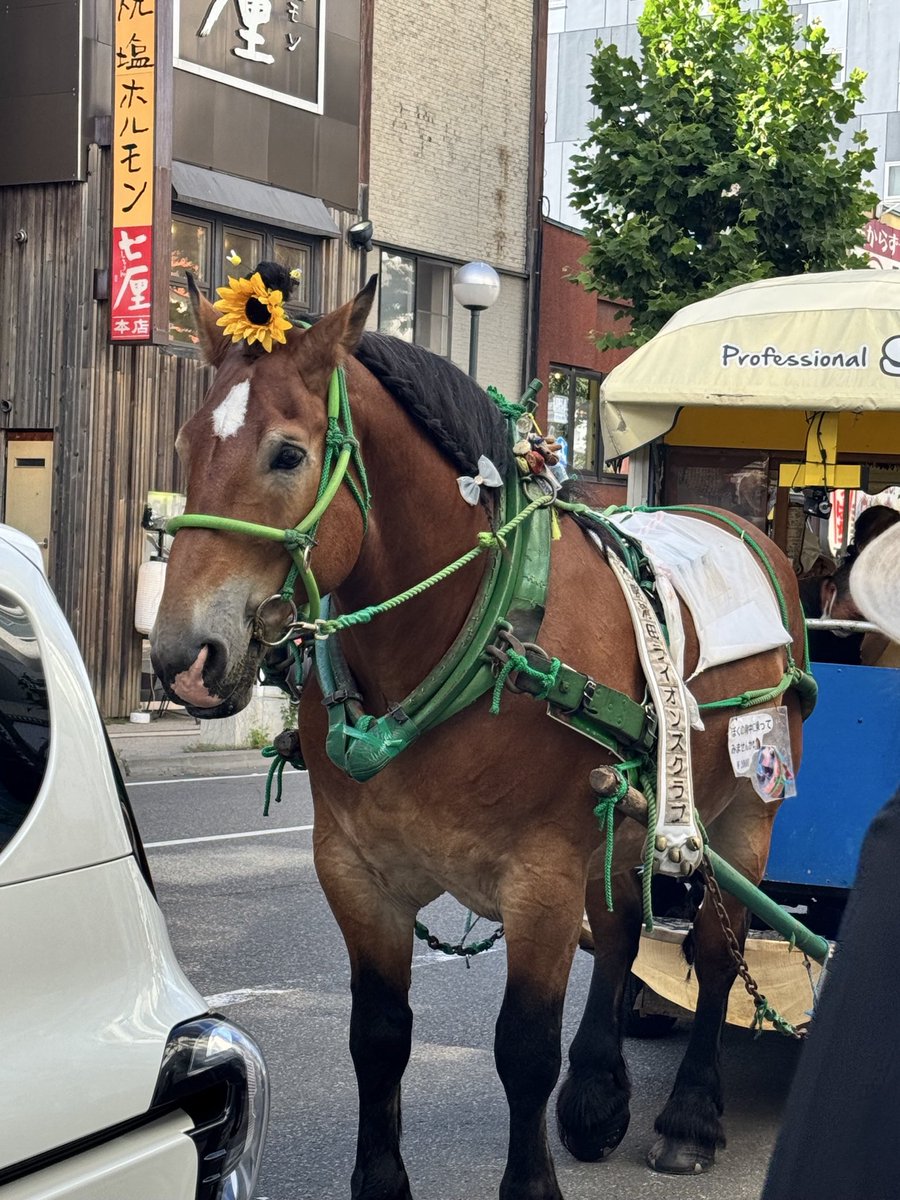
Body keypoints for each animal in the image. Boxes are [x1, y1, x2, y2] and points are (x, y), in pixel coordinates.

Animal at [150, 264, 808, 1199]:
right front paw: (381, 1182)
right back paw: (597, 1097)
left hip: (746, 806)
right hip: (623, 814)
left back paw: (689, 1117)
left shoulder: (541, 876)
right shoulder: (356, 871)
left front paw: (531, 1183)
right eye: (185, 445)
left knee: (717, 954)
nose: (182, 658)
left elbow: (522, 1050)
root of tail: (741, 525)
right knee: (619, 935)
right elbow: (378, 1038)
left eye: (287, 454)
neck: (469, 632)